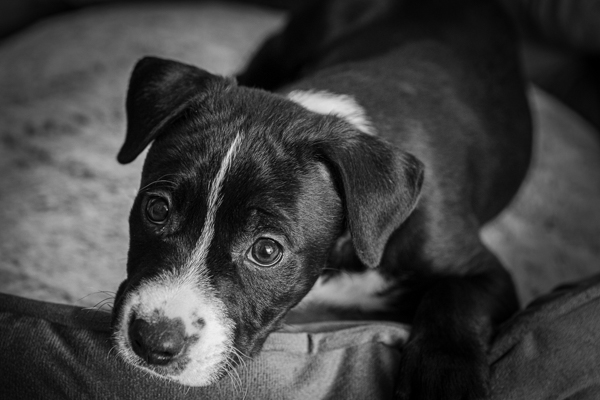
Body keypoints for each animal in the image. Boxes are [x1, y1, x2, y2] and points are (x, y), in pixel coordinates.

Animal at [111, 1, 528, 398]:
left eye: (266, 251)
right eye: (157, 209)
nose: (152, 341)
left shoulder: (486, 272)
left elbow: (453, 298)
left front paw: (443, 379)